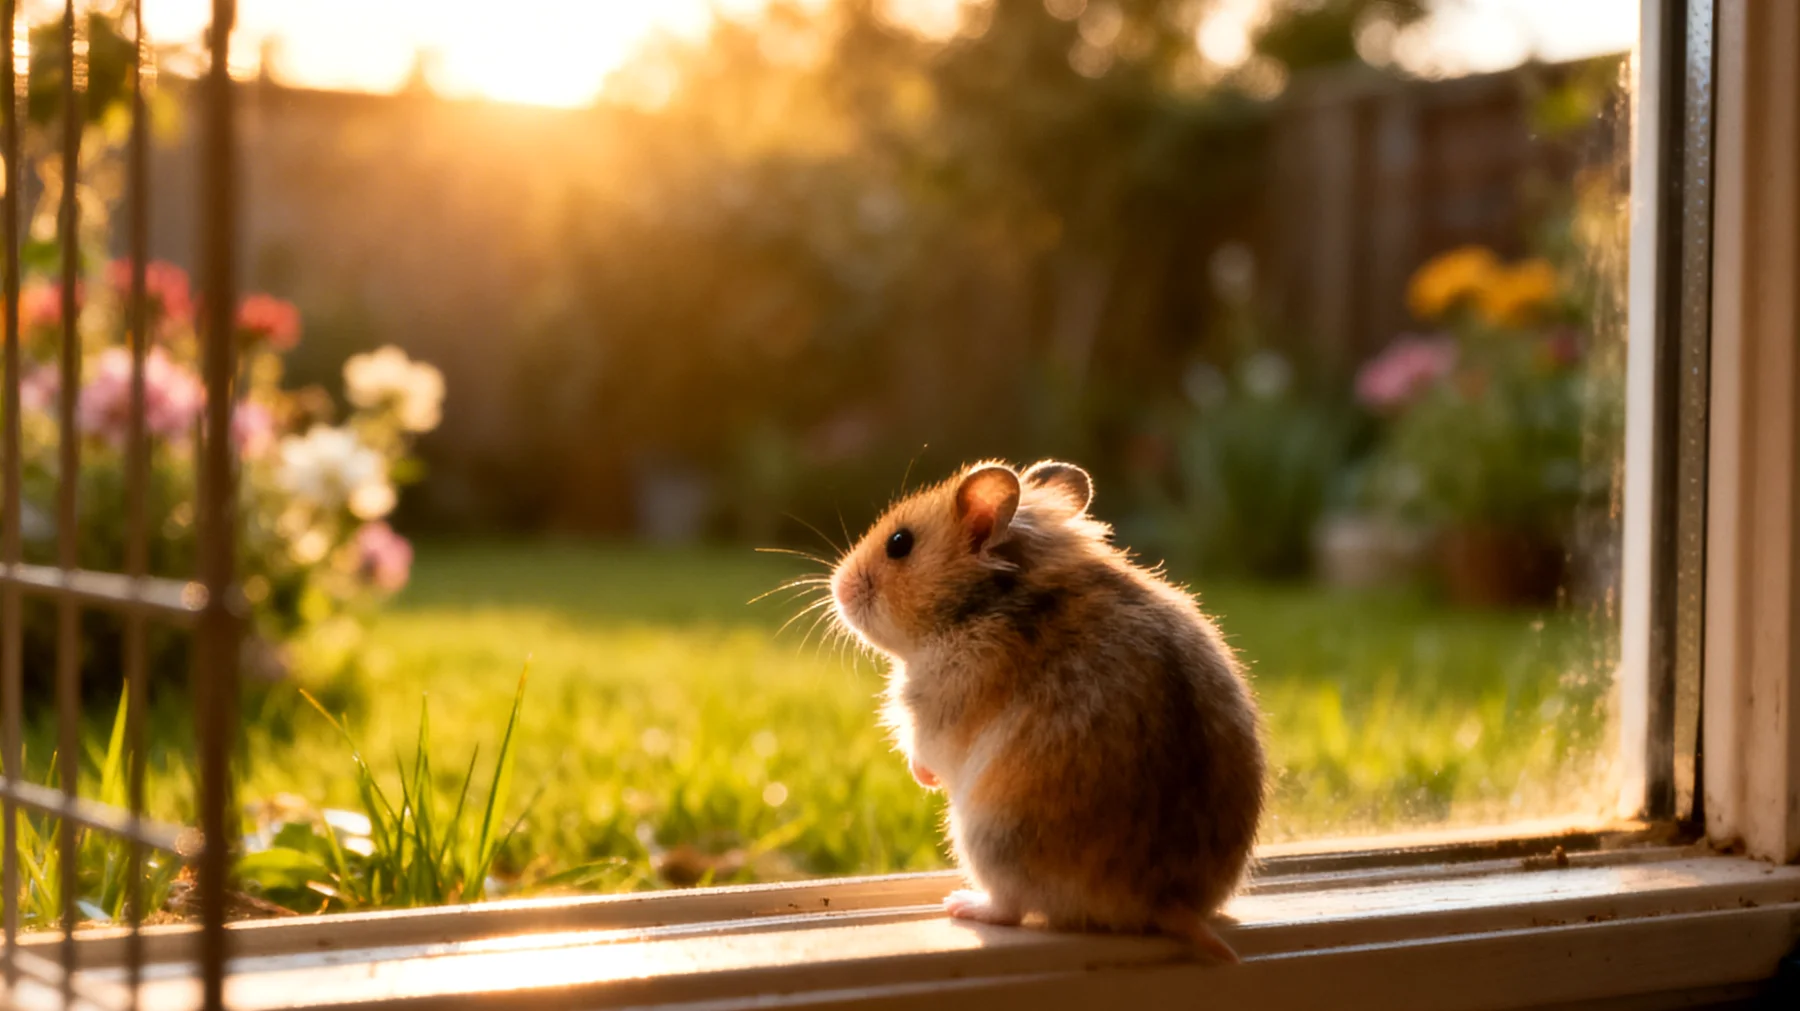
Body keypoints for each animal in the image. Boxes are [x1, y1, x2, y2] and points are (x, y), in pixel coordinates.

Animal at [829, 460, 1264, 963]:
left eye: (899, 544)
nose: (836, 587)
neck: (981, 601)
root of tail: (1161, 898)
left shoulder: (933, 716)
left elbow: (922, 754)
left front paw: (926, 780)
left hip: (984, 835)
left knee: (1010, 908)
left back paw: (961, 903)